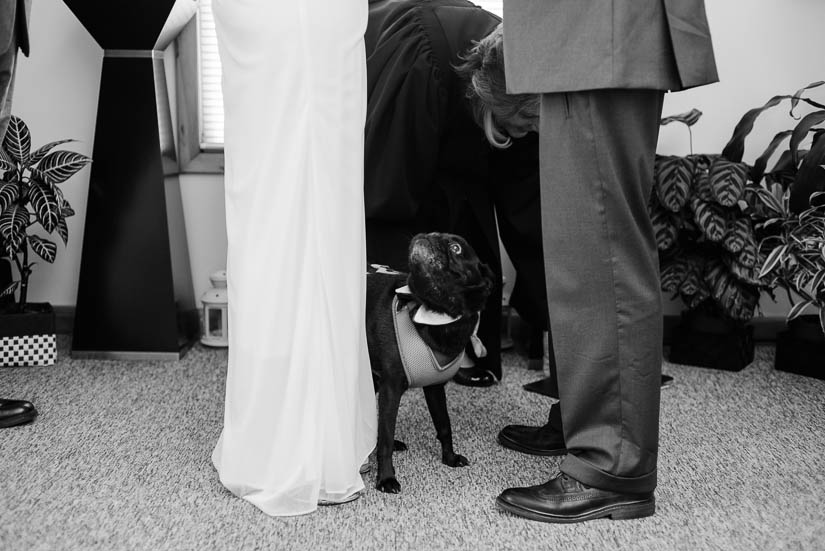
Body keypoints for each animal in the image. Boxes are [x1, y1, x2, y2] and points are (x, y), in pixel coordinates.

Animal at [364, 231, 492, 494]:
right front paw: (386, 478)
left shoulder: (435, 387)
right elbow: (386, 433)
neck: (436, 314)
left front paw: (449, 458)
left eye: (455, 248)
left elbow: (444, 425)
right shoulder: (392, 388)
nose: (430, 234)